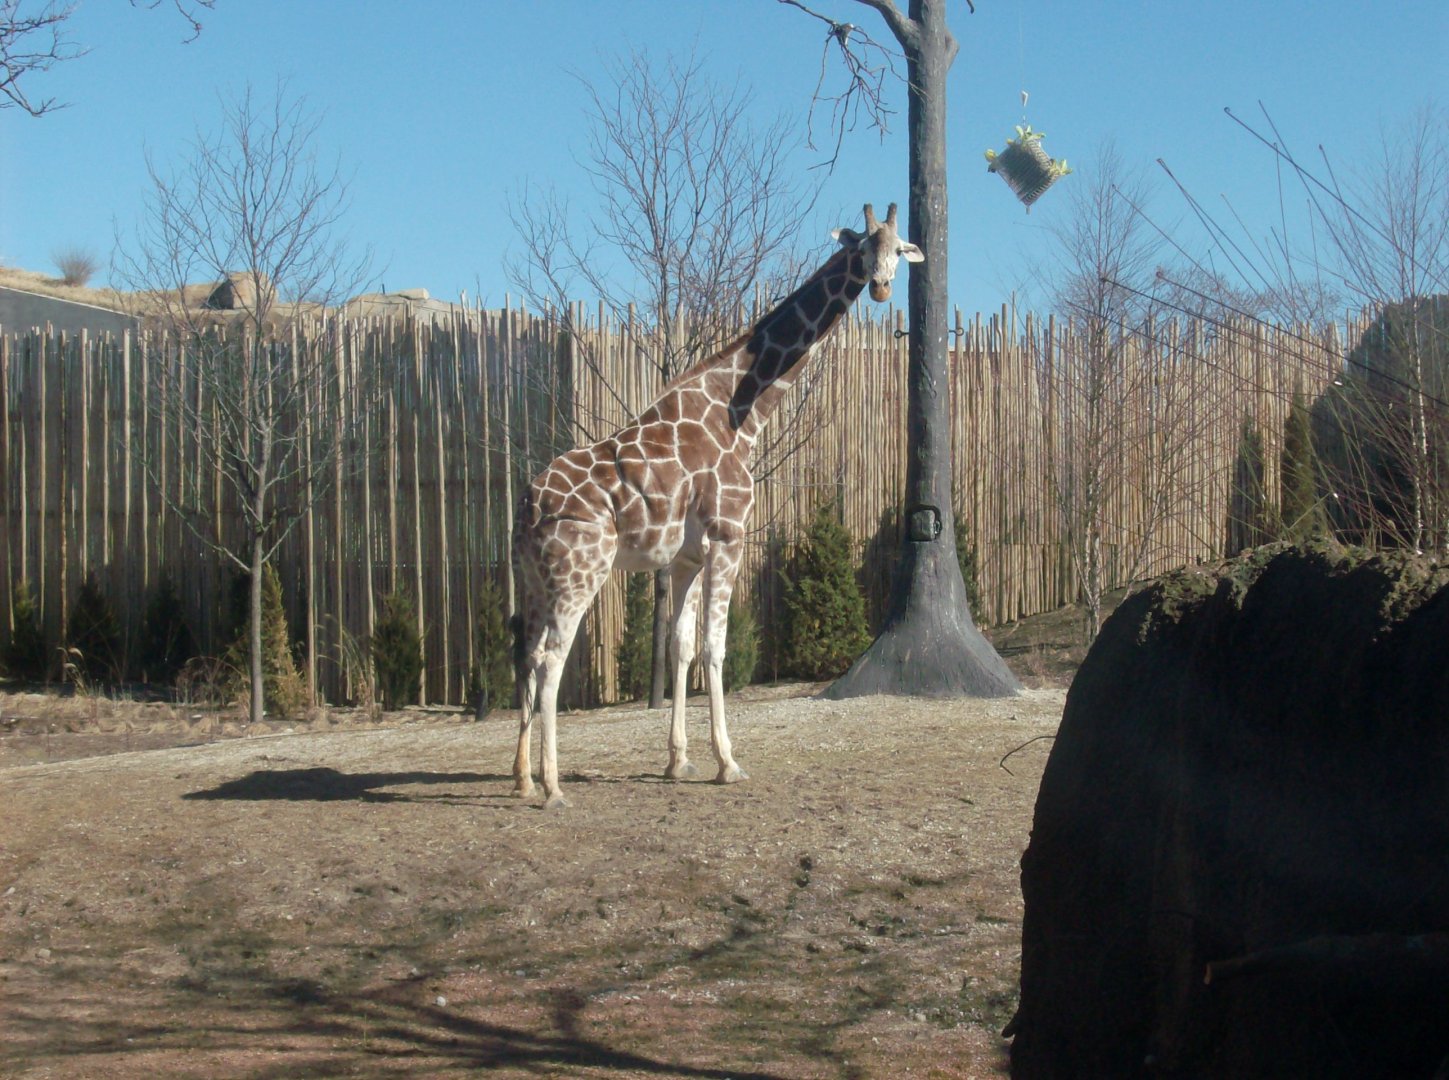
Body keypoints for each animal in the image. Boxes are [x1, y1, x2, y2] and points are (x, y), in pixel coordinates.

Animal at [511, 202, 922, 808]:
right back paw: (553, 785)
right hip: (581, 572)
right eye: (863, 250)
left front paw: (677, 761)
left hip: (535, 580)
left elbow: (681, 647)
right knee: (550, 660)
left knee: (524, 653)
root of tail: (528, 505)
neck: (739, 415)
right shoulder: (728, 535)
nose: (881, 288)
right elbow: (715, 648)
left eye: (899, 250)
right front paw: (727, 762)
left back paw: (520, 777)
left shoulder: (684, 557)